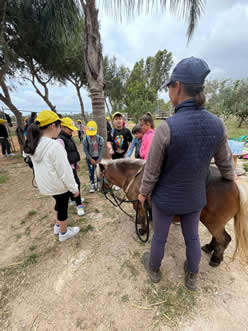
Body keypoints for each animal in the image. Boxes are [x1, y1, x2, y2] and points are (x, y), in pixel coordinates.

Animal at [97, 158, 248, 268]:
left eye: (99, 177)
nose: (102, 190)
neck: (135, 176)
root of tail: (235, 185)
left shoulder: (139, 204)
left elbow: (142, 217)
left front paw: (142, 230)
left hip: (212, 222)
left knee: (224, 239)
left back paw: (216, 259)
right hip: (216, 222)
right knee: (218, 238)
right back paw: (210, 249)